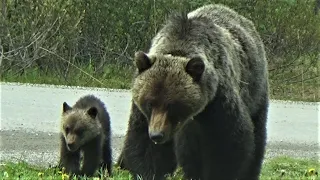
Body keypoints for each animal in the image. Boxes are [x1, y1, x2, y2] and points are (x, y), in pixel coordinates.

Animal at [117, 3, 268, 180]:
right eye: (149, 103)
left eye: (172, 105)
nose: (157, 135)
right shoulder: (144, 112)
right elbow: (144, 144)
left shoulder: (218, 99)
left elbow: (227, 142)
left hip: (255, 89)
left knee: (257, 132)